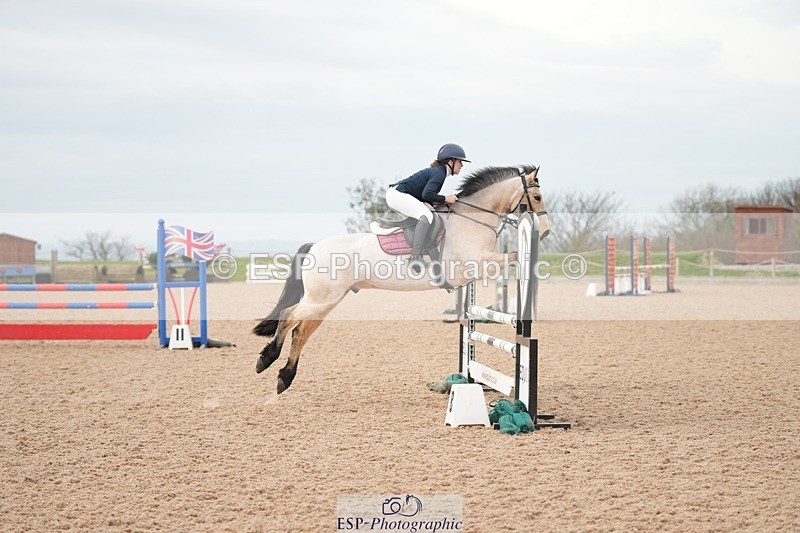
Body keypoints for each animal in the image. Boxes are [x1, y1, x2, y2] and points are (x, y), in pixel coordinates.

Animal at [253, 165, 550, 394]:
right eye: (536, 196)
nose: (545, 233)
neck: (472, 220)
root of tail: (314, 246)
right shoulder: (475, 266)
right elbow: (512, 256)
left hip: (327, 300)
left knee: (300, 331)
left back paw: (284, 377)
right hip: (321, 298)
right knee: (289, 316)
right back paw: (267, 359)